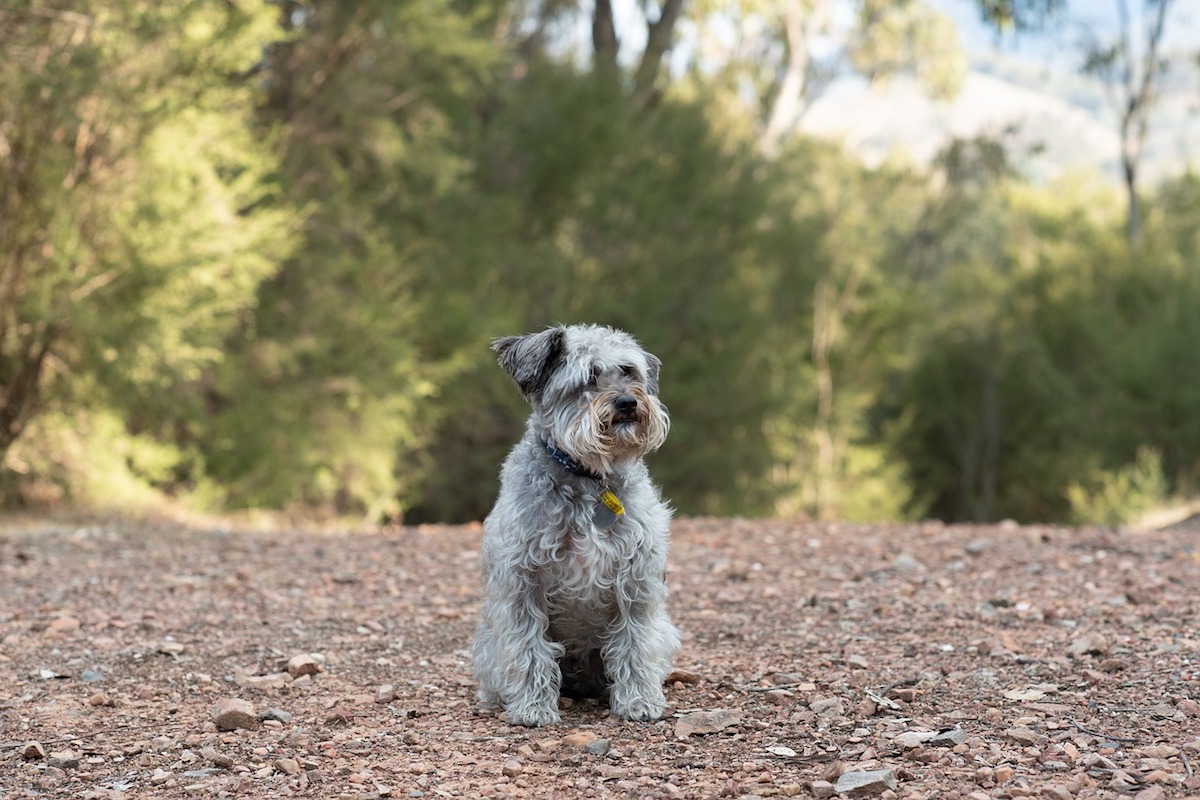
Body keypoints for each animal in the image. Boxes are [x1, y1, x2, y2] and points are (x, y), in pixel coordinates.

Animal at [470, 323, 681, 724]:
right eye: (589, 377)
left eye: (628, 371)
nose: (627, 403)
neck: (587, 476)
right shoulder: (523, 583)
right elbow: (529, 648)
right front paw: (533, 707)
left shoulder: (636, 581)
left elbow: (634, 643)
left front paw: (639, 701)